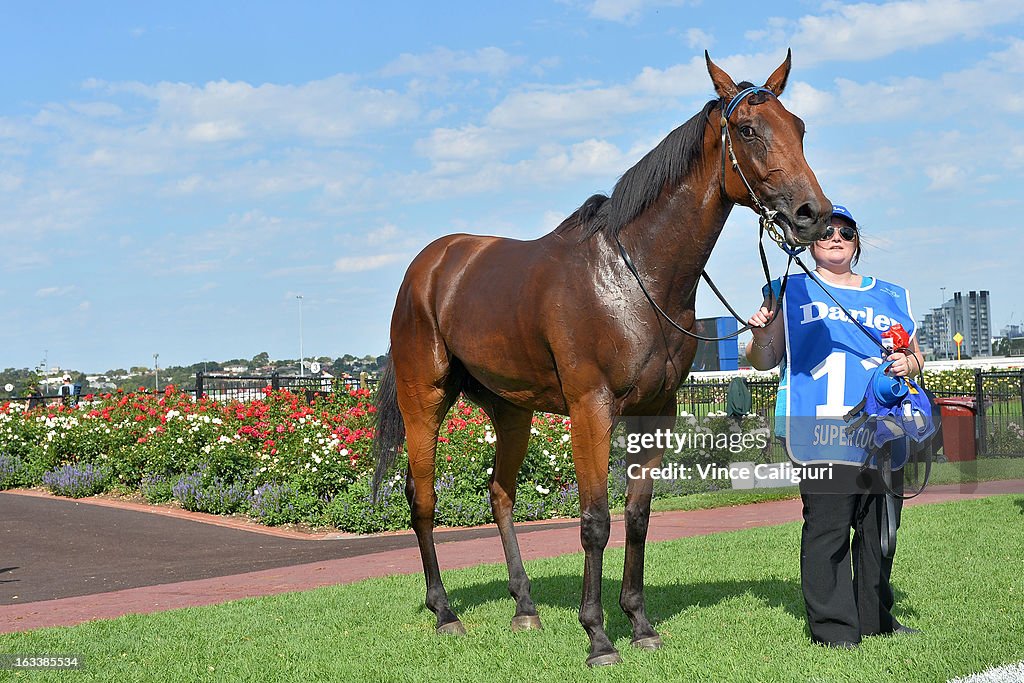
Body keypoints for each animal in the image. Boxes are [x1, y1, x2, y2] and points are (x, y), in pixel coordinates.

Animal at [372, 53, 827, 667]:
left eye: (799, 127)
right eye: (750, 130)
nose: (813, 214)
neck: (636, 277)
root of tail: (430, 266)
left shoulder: (655, 411)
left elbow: (636, 515)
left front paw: (639, 622)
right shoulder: (591, 409)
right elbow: (593, 520)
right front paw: (598, 635)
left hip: (512, 411)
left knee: (500, 495)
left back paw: (525, 607)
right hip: (424, 399)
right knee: (423, 499)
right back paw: (444, 612)